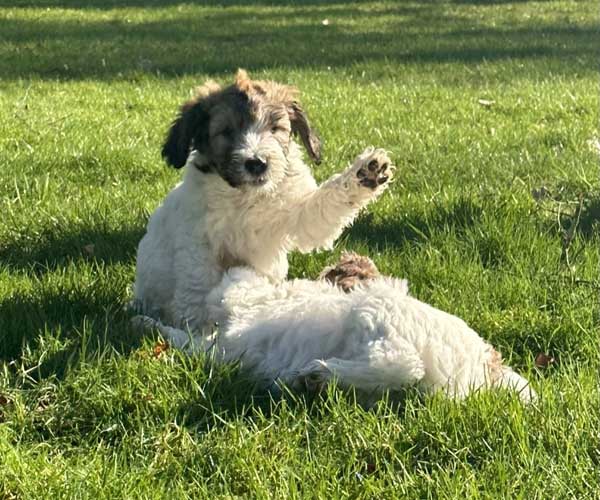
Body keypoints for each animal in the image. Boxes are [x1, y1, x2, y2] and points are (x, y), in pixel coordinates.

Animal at [133, 70, 394, 330]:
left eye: (275, 128)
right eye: (226, 131)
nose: (257, 163)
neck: (247, 198)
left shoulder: (298, 213)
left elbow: (323, 208)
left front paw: (367, 173)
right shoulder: (197, 241)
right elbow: (197, 282)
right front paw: (197, 327)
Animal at [133, 253, 536, 403]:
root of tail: (488, 363)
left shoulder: (243, 298)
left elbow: (236, 281)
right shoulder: (216, 348)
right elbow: (183, 338)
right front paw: (146, 323)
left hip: (376, 315)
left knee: (403, 364)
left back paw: (319, 373)